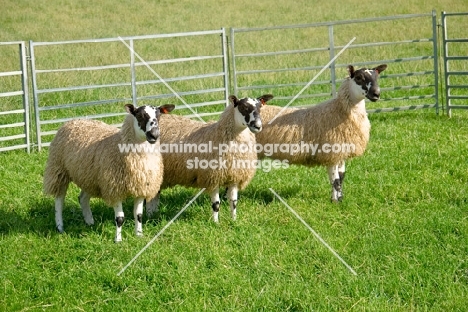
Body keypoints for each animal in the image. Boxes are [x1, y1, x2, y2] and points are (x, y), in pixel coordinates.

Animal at [43, 103, 175, 243]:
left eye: (159, 116)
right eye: (140, 116)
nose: (154, 135)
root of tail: (73, 121)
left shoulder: (141, 187)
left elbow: (138, 215)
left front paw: (139, 235)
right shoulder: (114, 188)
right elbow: (120, 219)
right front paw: (118, 240)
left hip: (89, 176)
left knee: (82, 198)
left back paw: (89, 222)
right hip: (58, 169)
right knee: (59, 199)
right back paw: (60, 226)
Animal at [147, 93, 274, 222]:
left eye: (260, 107)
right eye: (243, 107)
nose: (257, 126)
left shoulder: (234, 176)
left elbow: (233, 202)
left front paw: (234, 220)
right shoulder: (212, 177)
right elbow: (216, 204)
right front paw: (215, 223)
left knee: (155, 194)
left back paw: (152, 214)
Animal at [254, 64, 386, 202]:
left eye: (377, 76)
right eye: (359, 78)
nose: (376, 94)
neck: (339, 110)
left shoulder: (341, 152)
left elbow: (341, 177)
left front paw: (339, 199)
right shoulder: (332, 153)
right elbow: (335, 180)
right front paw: (335, 202)